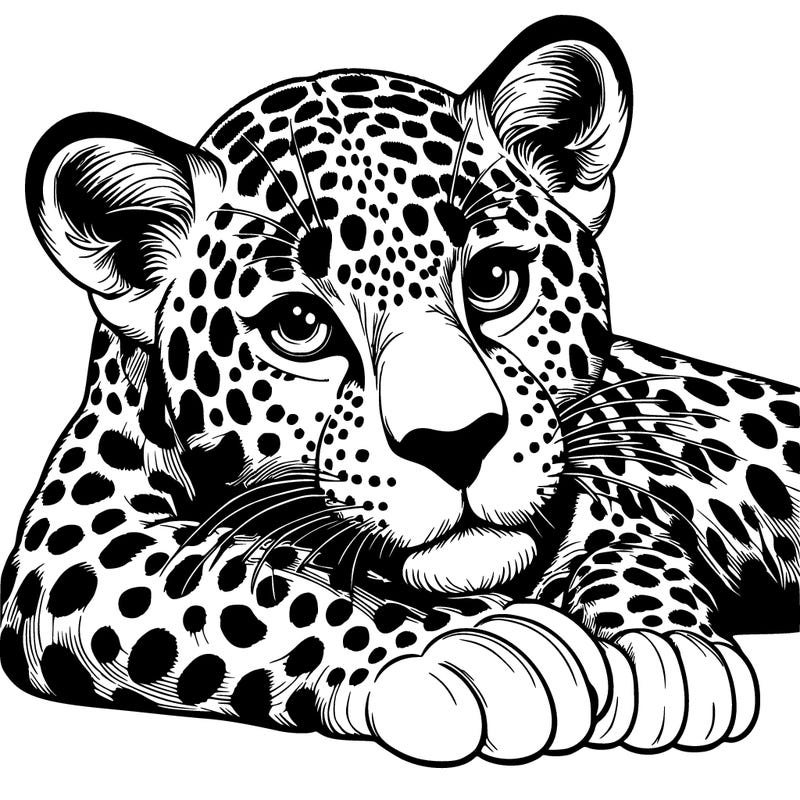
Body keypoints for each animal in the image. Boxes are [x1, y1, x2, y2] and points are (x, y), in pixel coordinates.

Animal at [1, 14, 798, 766]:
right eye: (298, 324)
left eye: (494, 279)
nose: (457, 444)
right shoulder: (79, 542)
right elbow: (260, 592)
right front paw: (479, 653)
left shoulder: (597, 481)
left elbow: (628, 546)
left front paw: (664, 648)